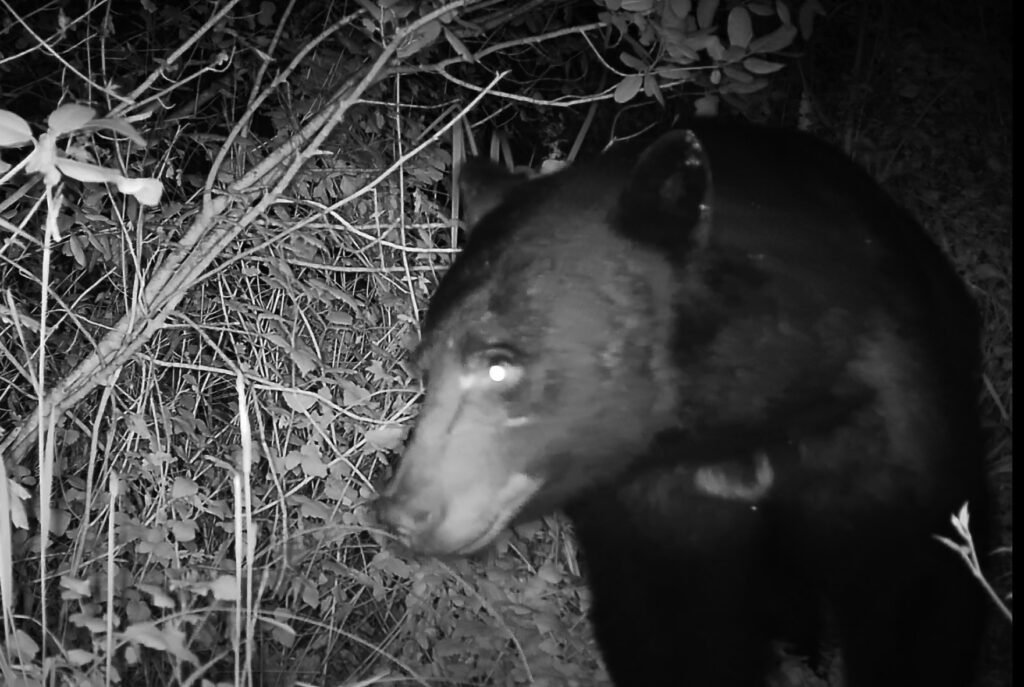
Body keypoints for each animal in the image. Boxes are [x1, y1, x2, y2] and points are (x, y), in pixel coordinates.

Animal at [374, 121, 989, 687]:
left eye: (499, 363)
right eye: (423, 368)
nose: (401, 513)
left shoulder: (885, 439)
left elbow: (920, 603)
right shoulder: (657, 517)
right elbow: (675, 636)